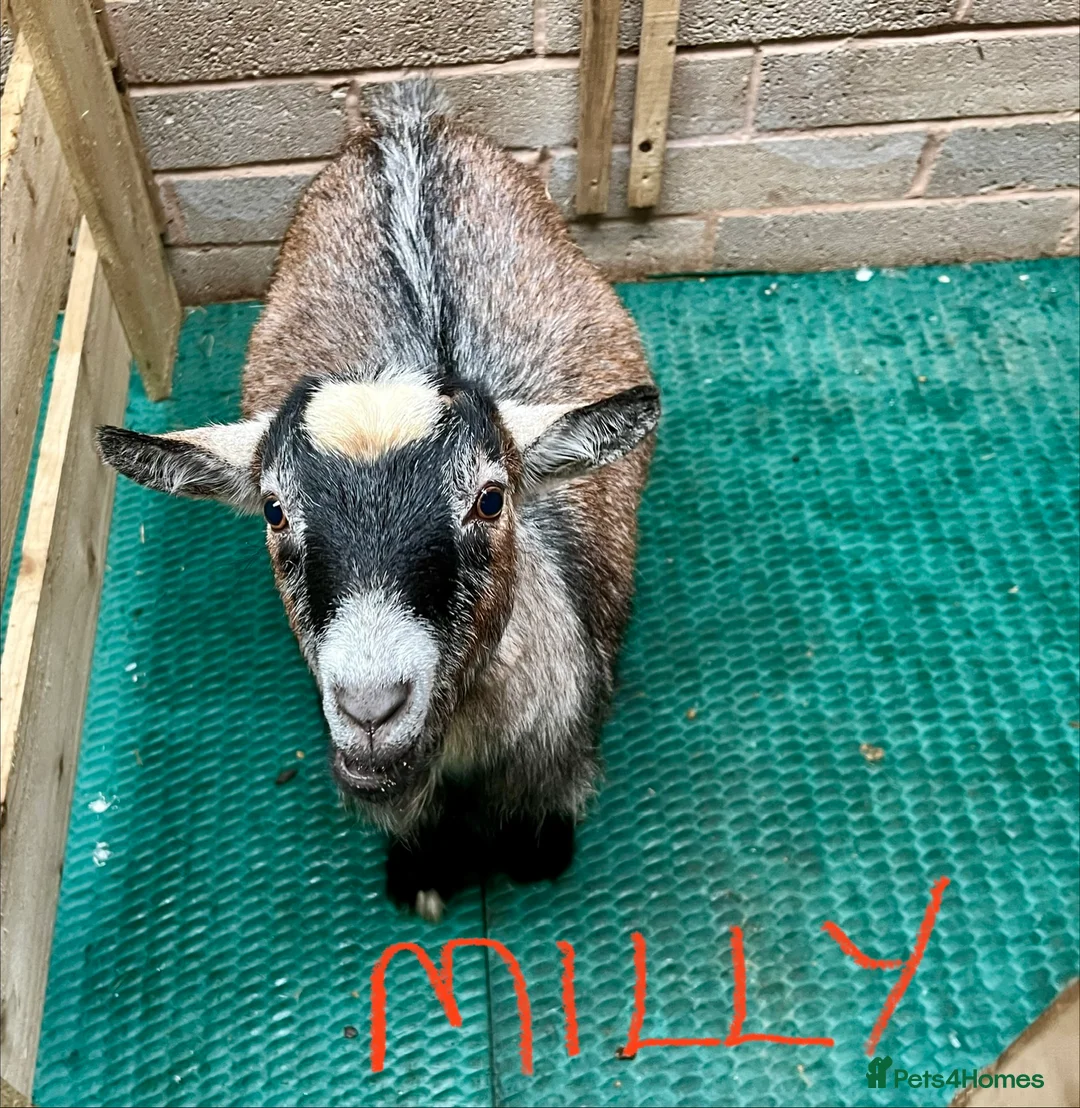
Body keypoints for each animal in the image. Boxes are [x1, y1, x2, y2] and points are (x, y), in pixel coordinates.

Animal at [97, 80, 660, 920]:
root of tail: (402, 121)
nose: (369, 709)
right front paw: (421, 872)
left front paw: (539, 854)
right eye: (274, 510)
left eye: (491, 500)